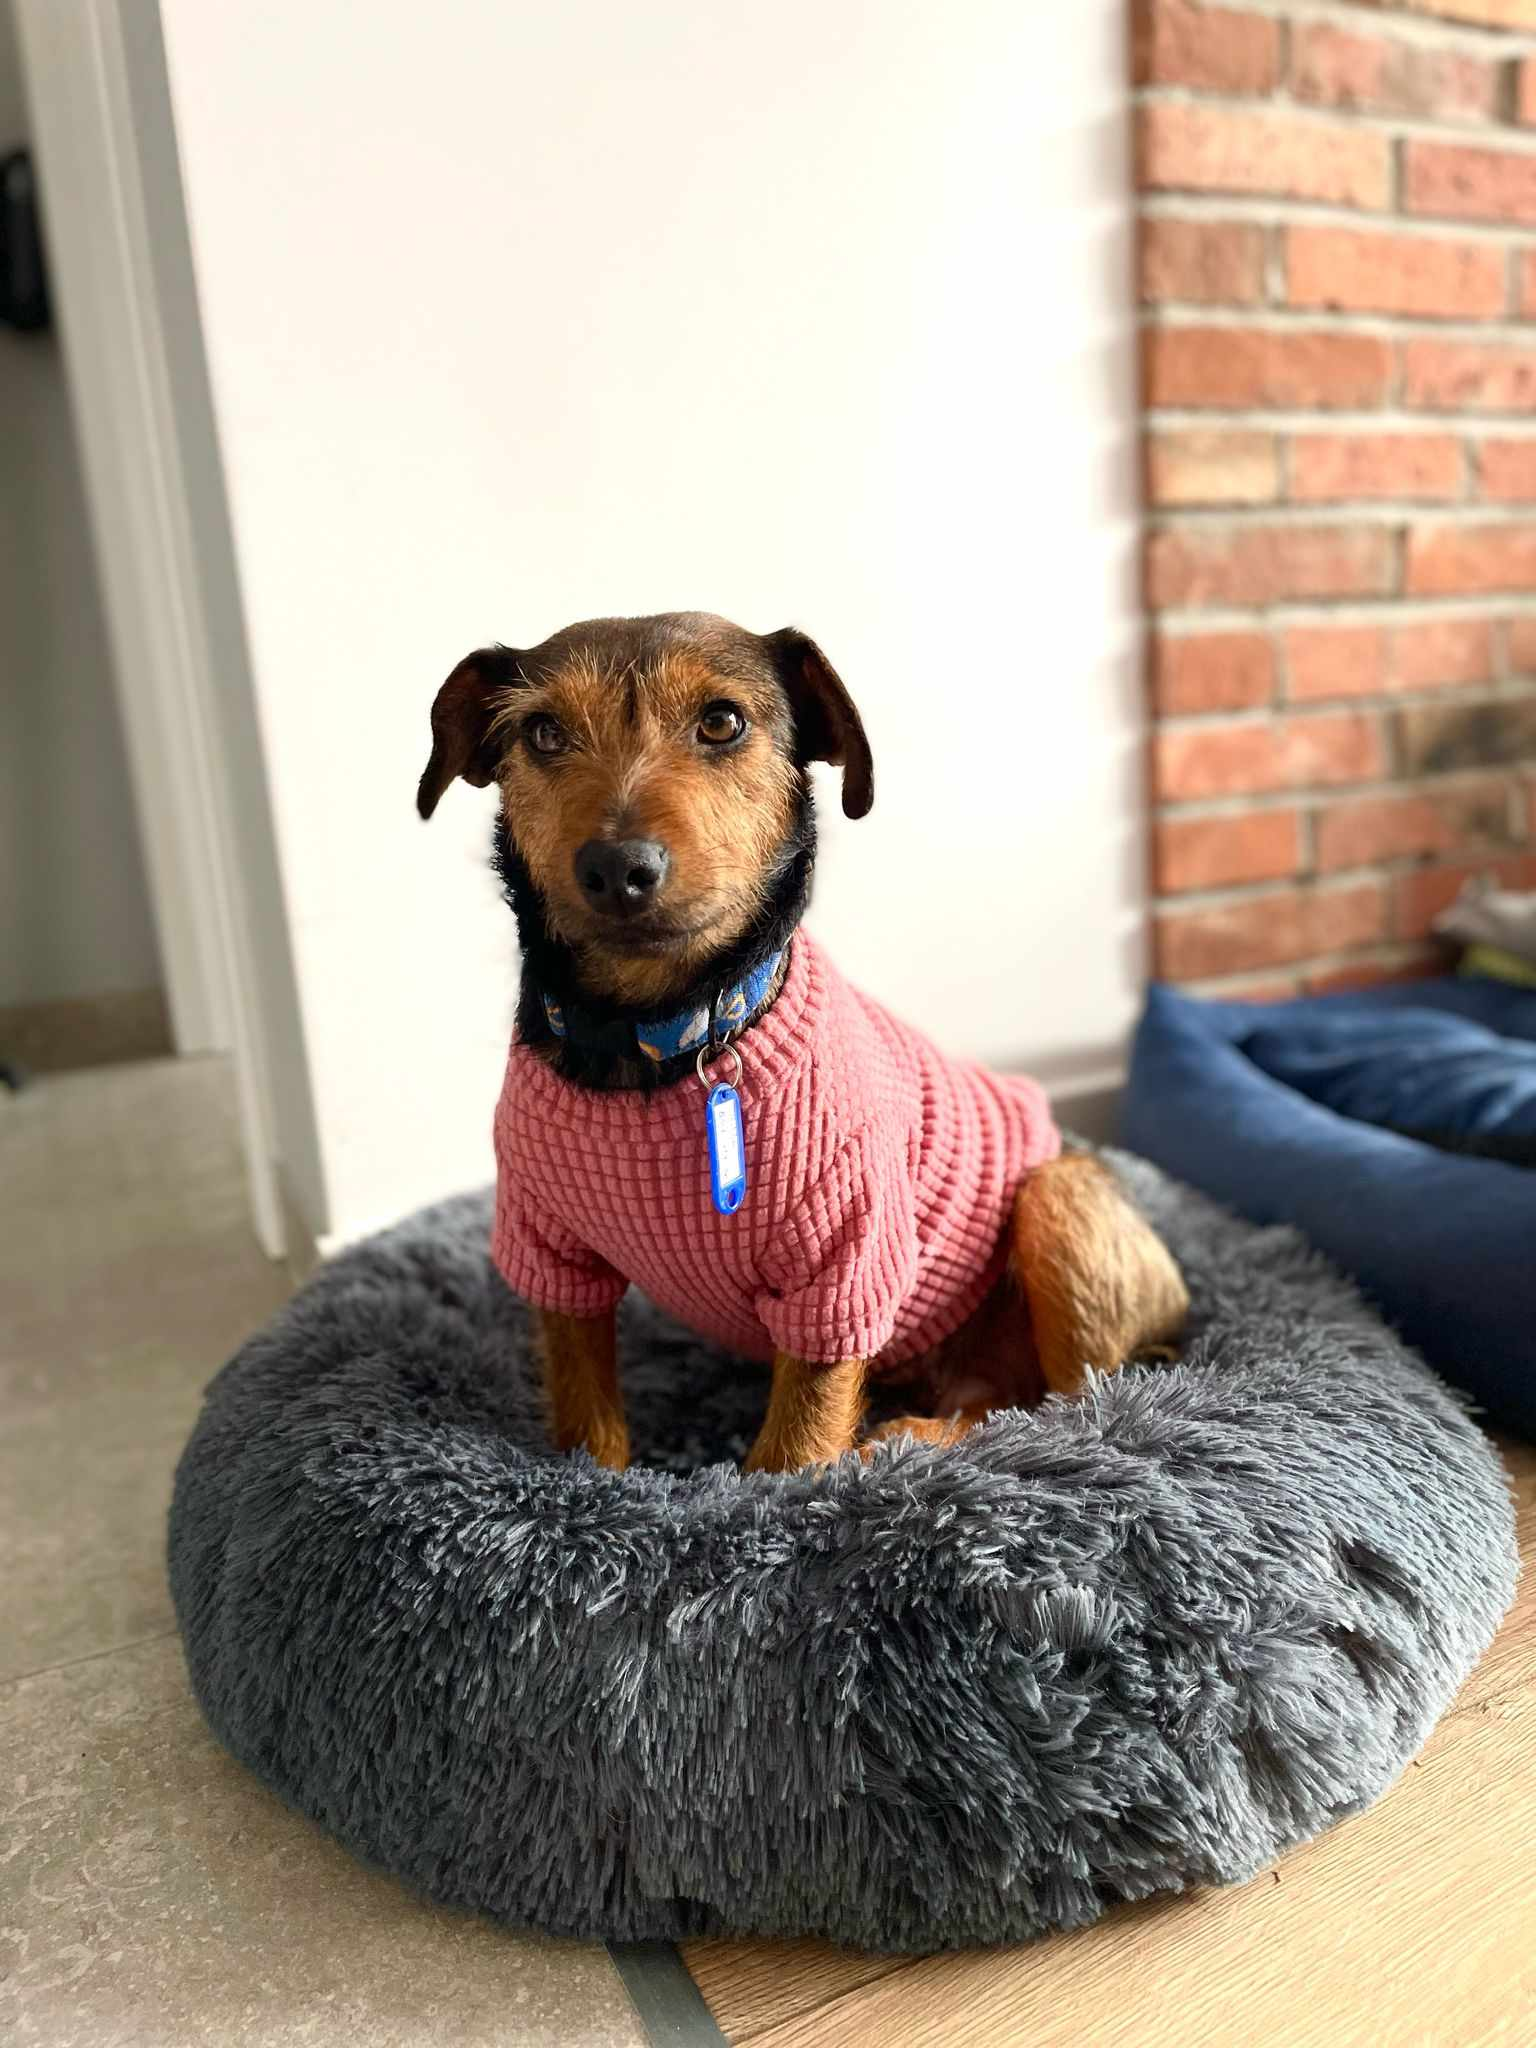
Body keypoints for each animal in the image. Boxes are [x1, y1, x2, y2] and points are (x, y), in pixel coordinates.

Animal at [418, 612, 1189, 1473]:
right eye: (544, 733)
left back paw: (914, 1440)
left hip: (1060, 1199)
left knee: (1069, 1407)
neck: (655, 1035)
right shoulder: (552, 1256)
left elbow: (795, 1446)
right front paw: (591, 1484)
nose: (618, 868)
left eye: (722, 722)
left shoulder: (842, 1265)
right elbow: (586, 1415)